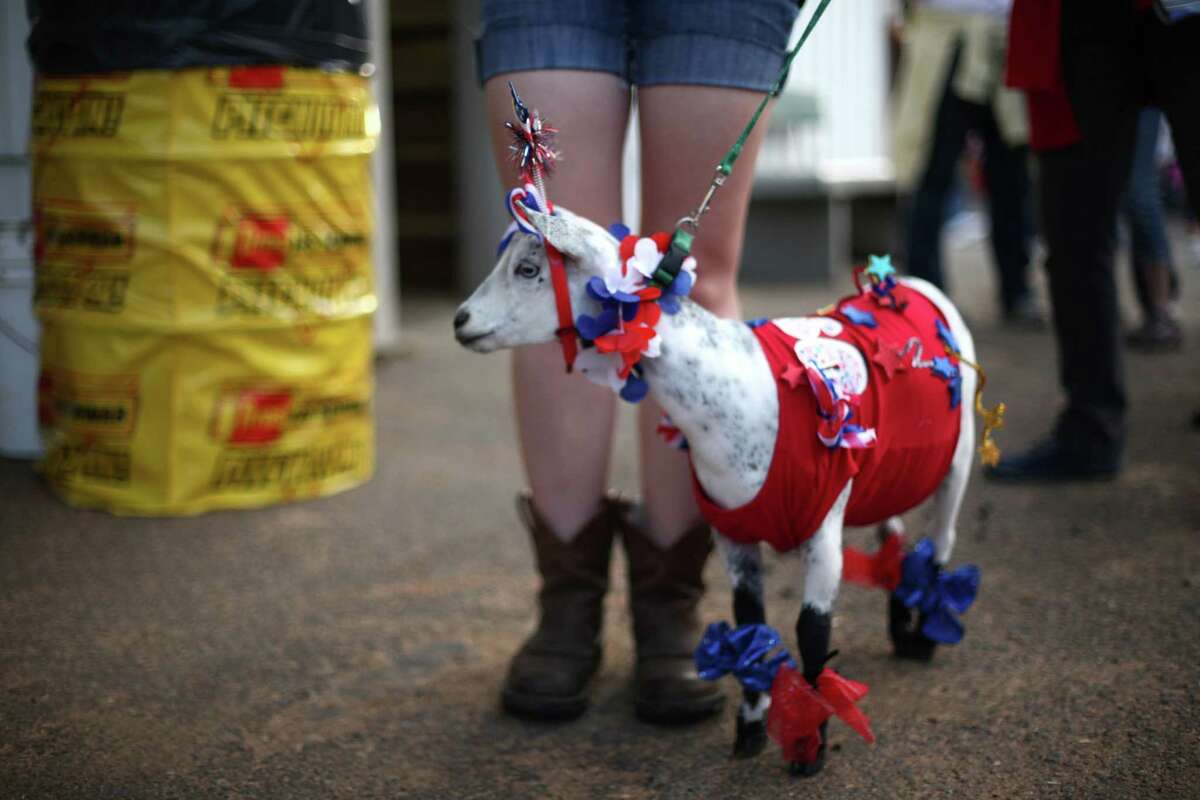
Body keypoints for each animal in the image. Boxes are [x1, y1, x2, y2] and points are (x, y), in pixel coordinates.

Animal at [453, 199, 979, 777]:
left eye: (529, 269)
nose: (460, 321)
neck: (738, 389)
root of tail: (908, 281)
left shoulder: (822, 533)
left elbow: (812, 634)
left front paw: (808, 746)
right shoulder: (733, 533)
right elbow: (751, 627)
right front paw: (751, 730)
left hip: (958, 455)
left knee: (942, 542)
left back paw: (924, 636)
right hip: (885, 468)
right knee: (895, 529)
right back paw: (901, 625)